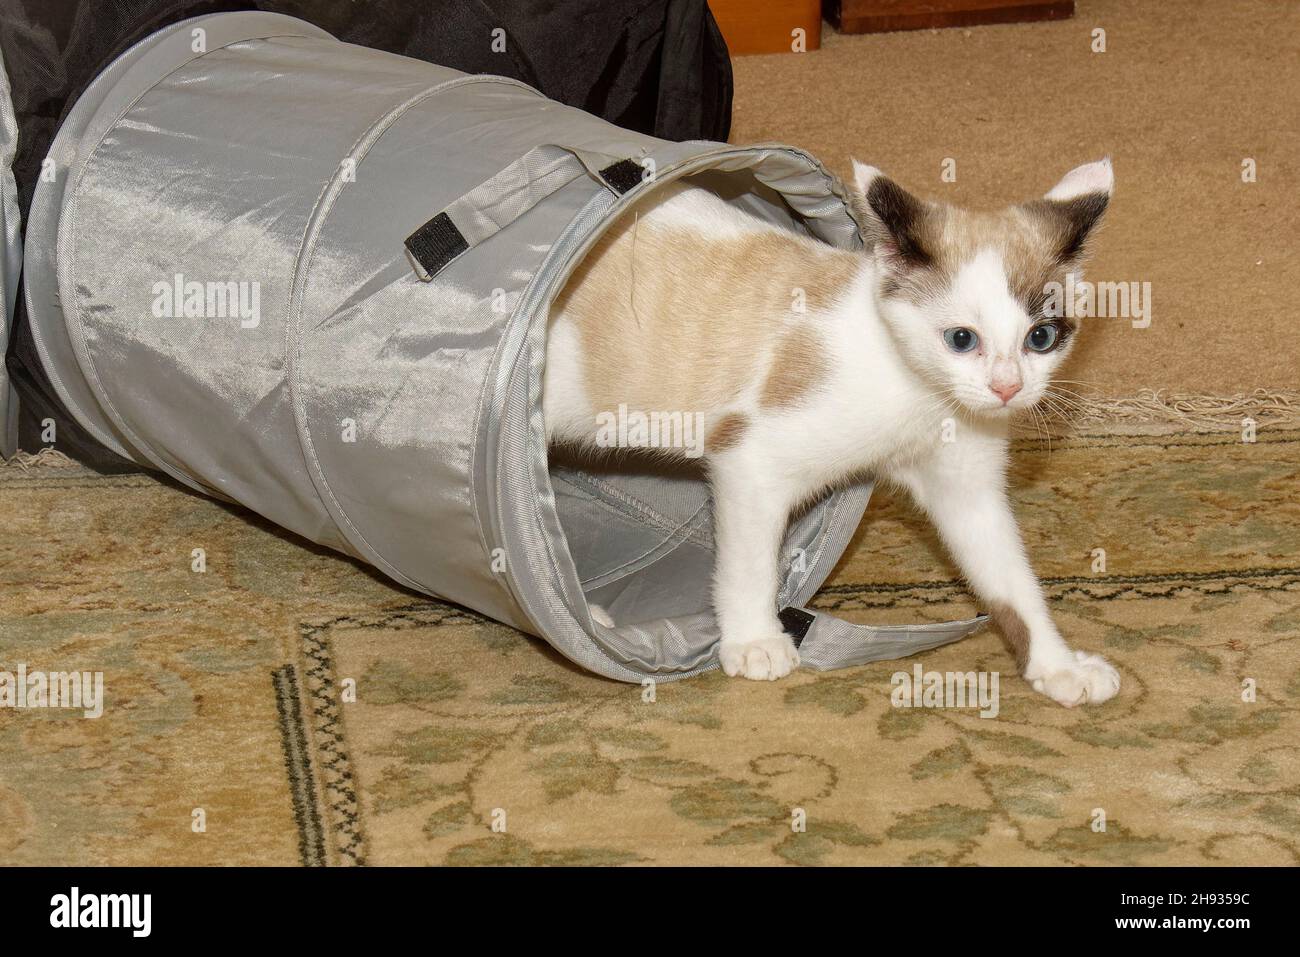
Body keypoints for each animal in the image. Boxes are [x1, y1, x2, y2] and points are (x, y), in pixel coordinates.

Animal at [543, 157, 1123, 707]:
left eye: (1041, 337)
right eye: (961, 339)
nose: (1008, 387)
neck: (924, 396)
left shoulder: (968, 492)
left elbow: (1013, 581)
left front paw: (1058, 666)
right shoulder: (750, 458)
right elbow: (751, 563)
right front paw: (754, 639)